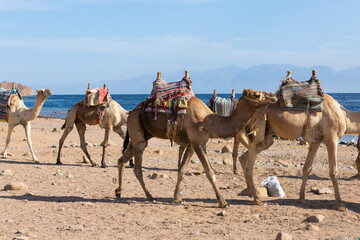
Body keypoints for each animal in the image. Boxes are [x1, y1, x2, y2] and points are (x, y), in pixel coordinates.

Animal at [114, 70, 278, 207]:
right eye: (256, 94)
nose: (274, 96)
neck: (209, 122)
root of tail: (131, 112)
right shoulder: (198, 142)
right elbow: (210, 172)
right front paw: (223, 202)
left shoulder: (192, 144)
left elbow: (182, 170)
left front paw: (177, 198)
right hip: (137, 131)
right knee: (137, 167)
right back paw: (149, 196)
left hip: (139, 134)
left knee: (122, 160)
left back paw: (119, 191)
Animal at [235, 70, 360, 211]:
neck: (344, 115)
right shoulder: (332, 138)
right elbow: (333, 172)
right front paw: (340, 204)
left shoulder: (316, 141)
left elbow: (307, 168)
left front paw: (302, 198)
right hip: (258, 129)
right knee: (249, 167)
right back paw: (257, 200)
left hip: (266, 138)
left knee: (244, 157)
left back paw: (250, 193)